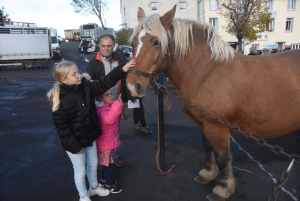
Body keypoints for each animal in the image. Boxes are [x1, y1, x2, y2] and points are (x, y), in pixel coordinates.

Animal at [126, 4, 300, 201]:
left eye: (156, 42)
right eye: (134, 43)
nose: (133, 86)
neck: (208, 72)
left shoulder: (217, 127)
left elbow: (223, 157)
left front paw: (223, 189)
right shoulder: (203, 124)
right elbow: (208, 149)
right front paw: (207, 175)